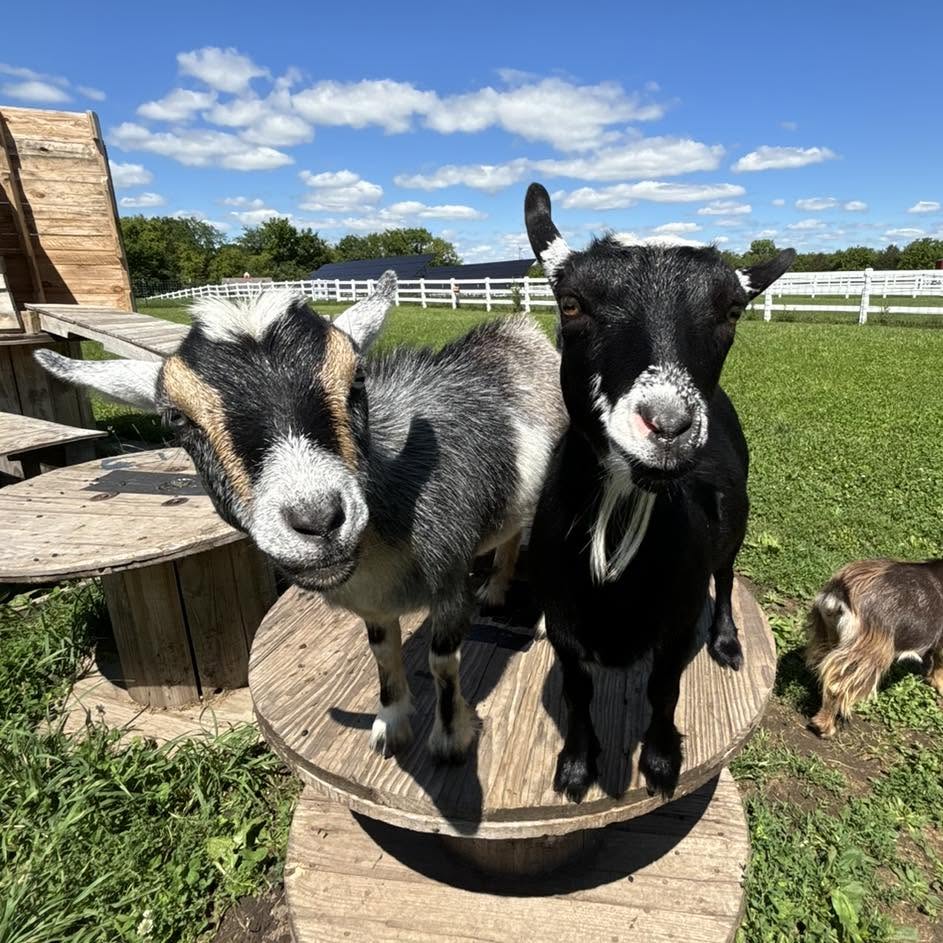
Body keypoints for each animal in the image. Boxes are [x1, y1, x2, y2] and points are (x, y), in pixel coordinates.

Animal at [36, 273, 568, 763]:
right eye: (175, 418)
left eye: (357, 379)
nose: (318, 520)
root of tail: (522, 329)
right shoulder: (373, 601)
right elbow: (382, 652)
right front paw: (391, 725)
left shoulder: (449, 576)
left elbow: (442, 662)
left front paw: (451, 738)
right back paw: (496, 588)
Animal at [523, 183, 796, 801]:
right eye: (570, 303)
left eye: (732, 310)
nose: (669, 425)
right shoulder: (562, 622)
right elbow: (576, 692)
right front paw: (576, 764)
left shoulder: (678, 618)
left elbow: (664, 689)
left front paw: (662, 760)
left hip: (734, 528)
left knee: (727, 576)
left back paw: (726, 642)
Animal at [806, 558, 943, 737]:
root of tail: (840, 590)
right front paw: (939, 685)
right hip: (871, 650)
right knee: (838, 684)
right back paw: (824, 726)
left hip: (828, 632)